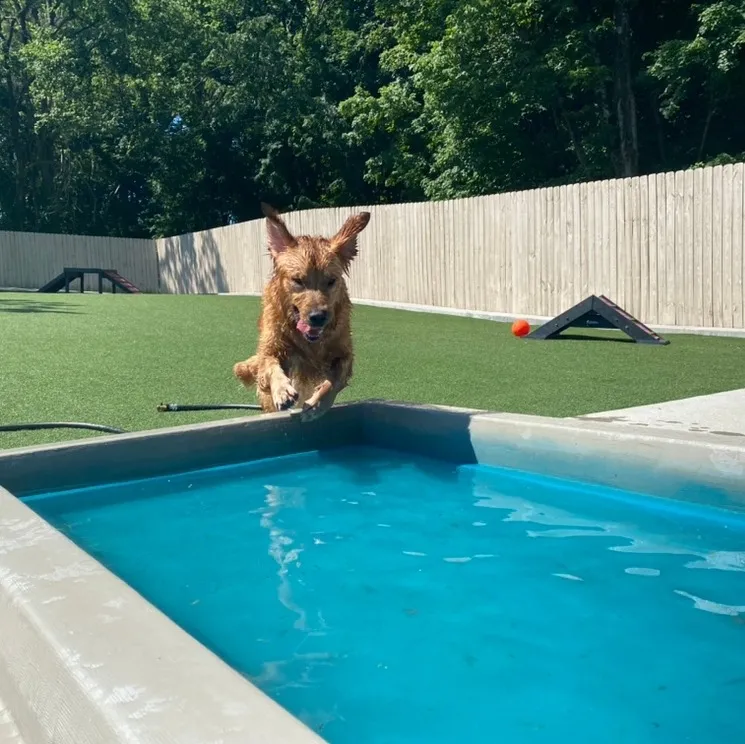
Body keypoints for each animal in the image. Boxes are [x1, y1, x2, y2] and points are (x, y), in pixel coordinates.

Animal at [234, 201, 370, 422]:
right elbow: (270, 364)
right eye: (298, 280)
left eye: (331, 281)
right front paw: (282, 391)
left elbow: (335, 380)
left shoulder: (344, 353)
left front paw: (318, 402)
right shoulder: (271, 348)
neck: (308, 343)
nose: (318, 318)